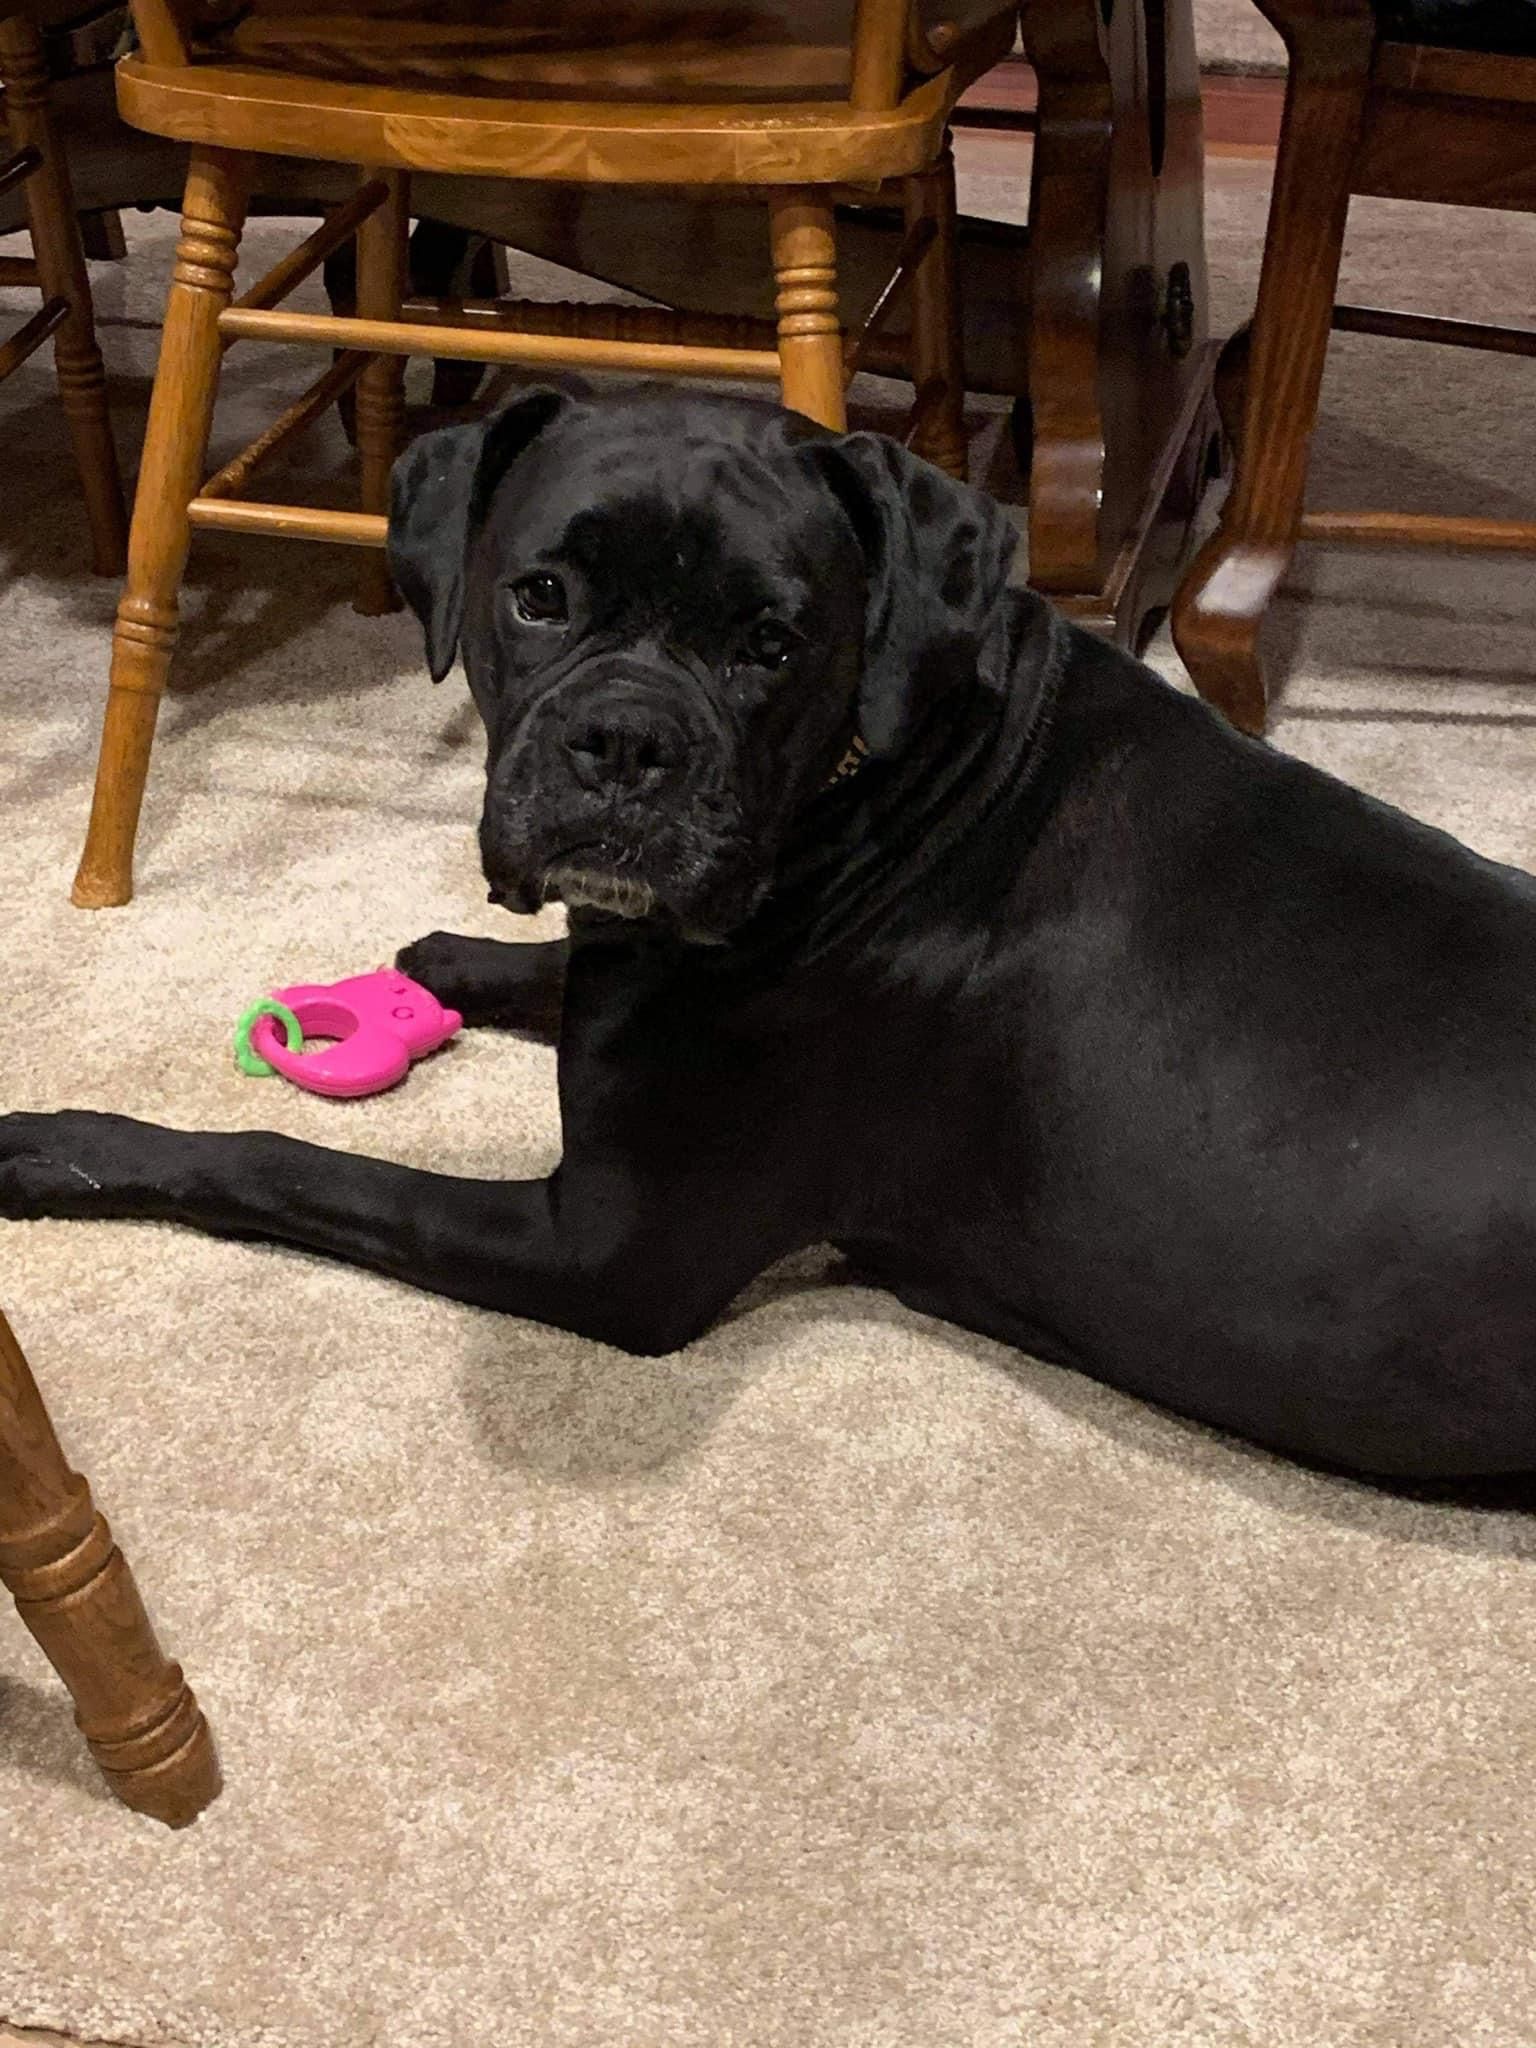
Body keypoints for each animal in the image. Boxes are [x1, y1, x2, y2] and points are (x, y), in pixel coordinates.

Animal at [5, 386, 1536, 1481]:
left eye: (772, 645)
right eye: (540, 595)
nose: (626, 741)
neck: (884, 785)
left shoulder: (607, 1248)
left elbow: (284, 1161)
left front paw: (63, 1145)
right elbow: (564, 968)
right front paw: (457, 962)